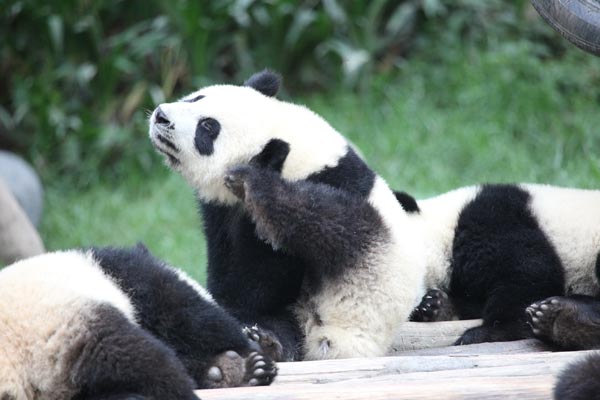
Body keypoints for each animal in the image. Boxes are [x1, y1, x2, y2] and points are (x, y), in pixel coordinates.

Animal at [147, 70, 424, 360]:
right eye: (196, 98)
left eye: (208, 128)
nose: (162, 116)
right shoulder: (223, 215)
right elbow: (231, 274)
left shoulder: (336, 185)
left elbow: (325, 225)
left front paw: (255, 183)